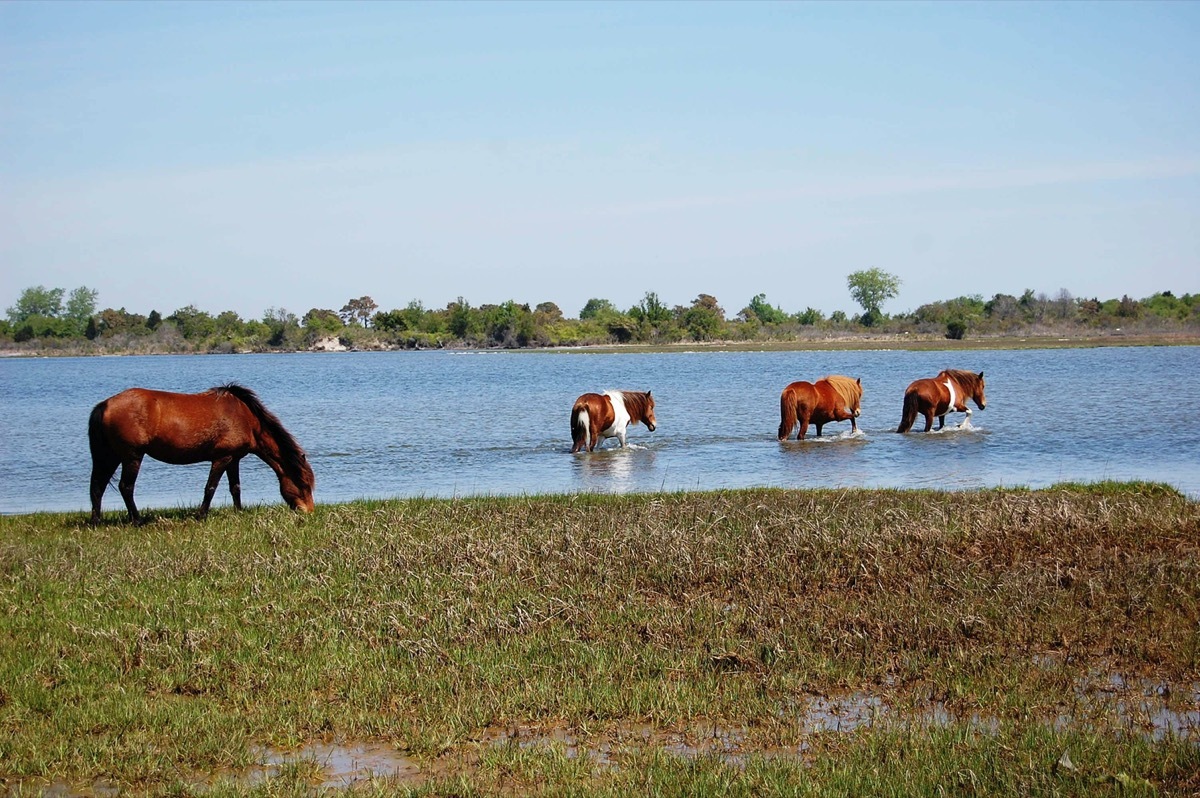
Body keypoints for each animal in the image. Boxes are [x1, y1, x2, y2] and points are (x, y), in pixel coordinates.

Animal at [89, 384, 315, 523]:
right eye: (304, 485)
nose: (310, 511)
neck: (247, 418)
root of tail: (105, 405)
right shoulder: (222, 458)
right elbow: (210, 488)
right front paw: (201, 515)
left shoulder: (234, 459)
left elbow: (235, 488)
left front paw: (239, 512)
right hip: (132, 456)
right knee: (125, 487)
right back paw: (137, 520)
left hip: (108, 456)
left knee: (98, 486)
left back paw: (96, 521)